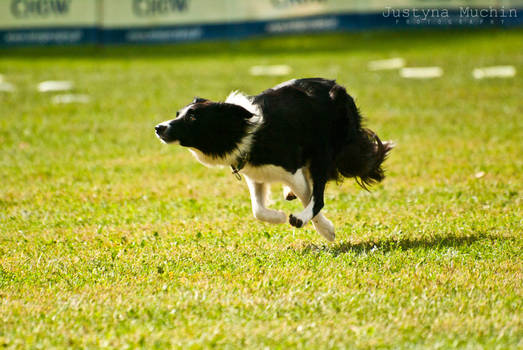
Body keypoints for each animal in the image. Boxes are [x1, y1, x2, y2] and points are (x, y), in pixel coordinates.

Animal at [156, 77, 392, 241]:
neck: (243, 130)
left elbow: (311, 198)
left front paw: (325, 229)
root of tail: (338, 88)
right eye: (178, 114)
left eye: (192, 117)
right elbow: (258, 210)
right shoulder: (256, 175)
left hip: (323, 149)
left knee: (318, 195)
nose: (159, 127)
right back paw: (289, 194)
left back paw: (303, 217)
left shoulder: (290, 168)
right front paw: (278, 216)